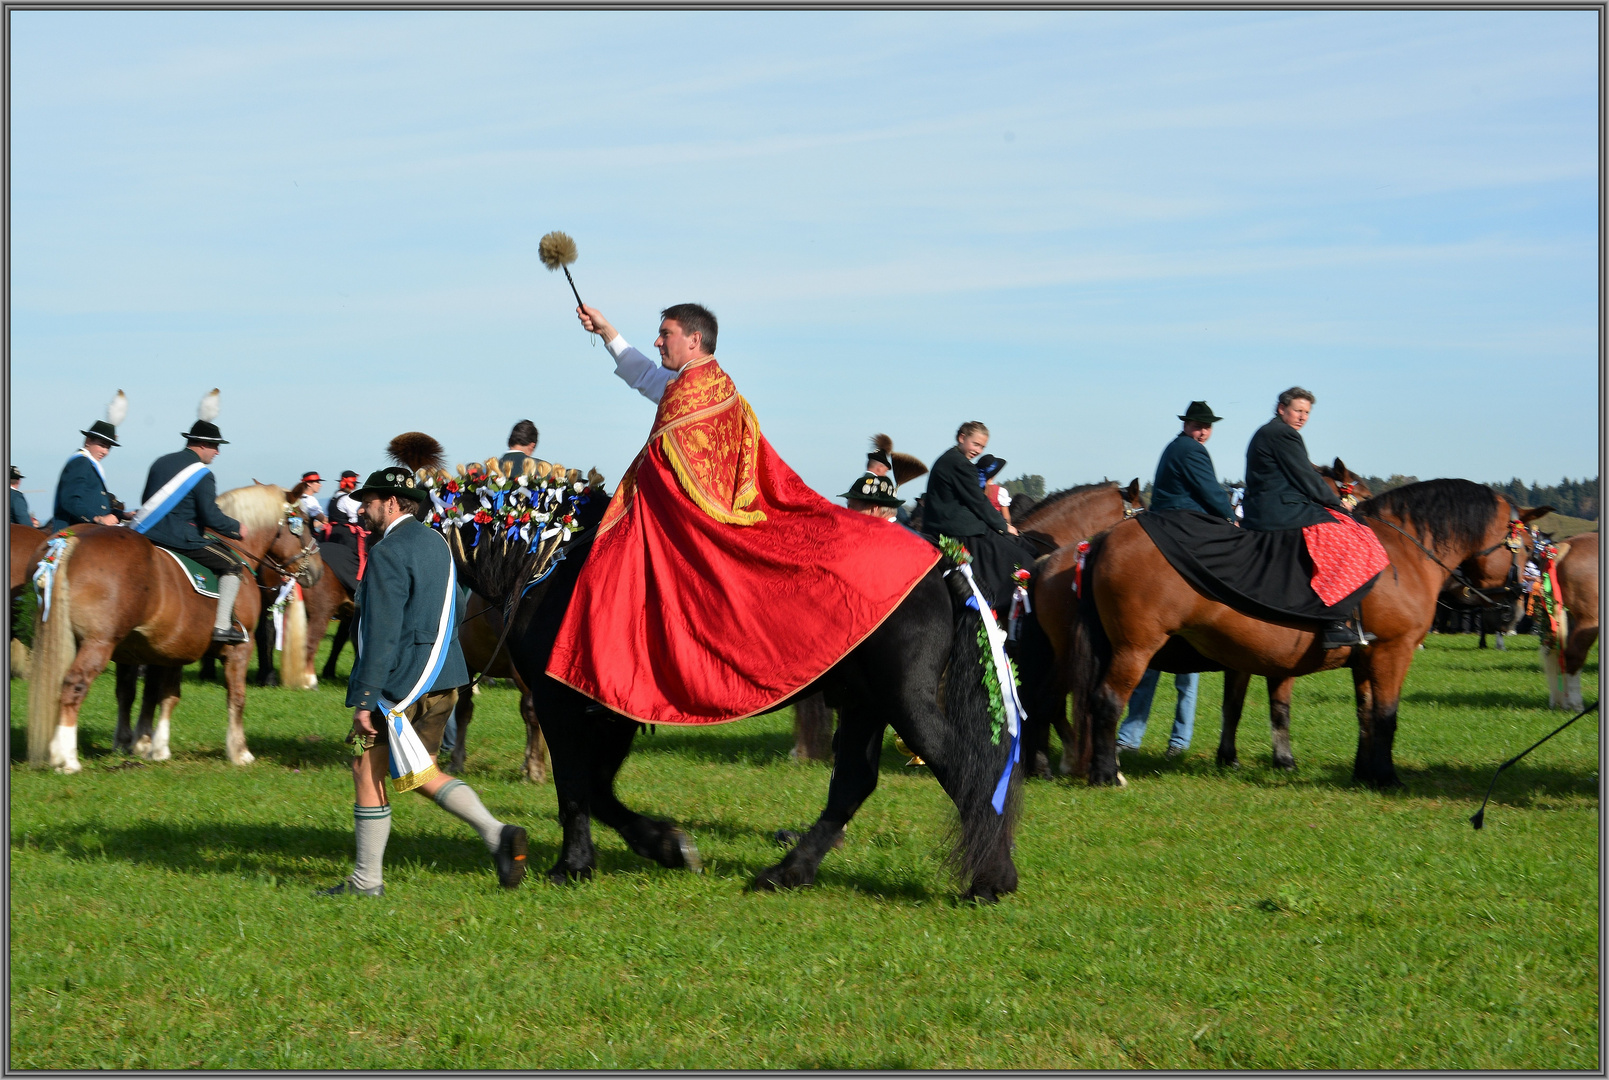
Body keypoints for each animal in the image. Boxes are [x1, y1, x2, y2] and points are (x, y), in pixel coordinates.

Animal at [27, 486, 320, 772]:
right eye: (304, 522)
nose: (317, 571)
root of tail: (67, 540)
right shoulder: (239, 649)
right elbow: (235, 696)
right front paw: (240, 751)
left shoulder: (158, 652)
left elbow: (151, 694)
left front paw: (146, 744)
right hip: (97, 643)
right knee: (74, 685)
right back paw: (67, 758)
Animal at [492, 508, 1016, 901]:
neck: (550, 576)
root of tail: (942, 563)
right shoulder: (612, 716)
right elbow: (597, 789)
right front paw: (667, 846)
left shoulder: (559, 704)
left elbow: (574, 787)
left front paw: (572, 865)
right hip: (866, 702)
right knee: (854, 782)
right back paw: (789, 872)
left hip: (904, 700)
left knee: (967, 767)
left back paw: (990, 880)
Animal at [1074, 476, 1538, 788]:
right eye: (1529, 547)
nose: (1514, 607)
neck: (1401, 553)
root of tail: (1106, 536)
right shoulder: (1393, 651)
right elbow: (1387, 716)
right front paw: (1387, 777)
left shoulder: (1365, 658)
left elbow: (1366, 714)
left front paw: (1364, 772)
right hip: (1135, 648)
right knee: (1108, 700)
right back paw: (1106, 774)